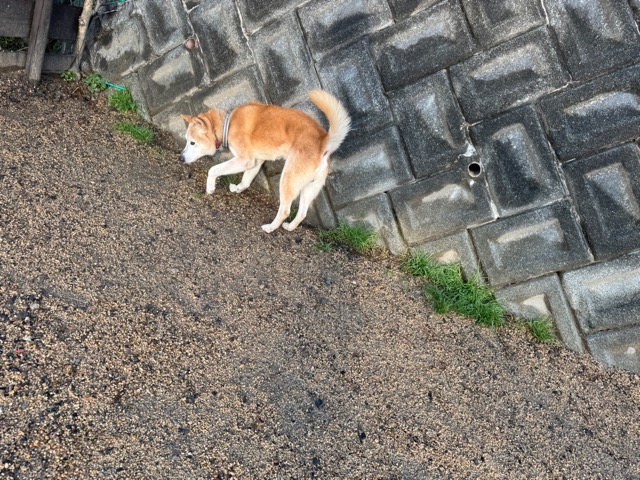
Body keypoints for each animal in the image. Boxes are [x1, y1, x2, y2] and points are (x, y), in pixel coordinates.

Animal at [179, 90, 351, 233]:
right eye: (186, 141)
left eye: (192, 142)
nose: (180, 158)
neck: (227, 124)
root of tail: (322, 142)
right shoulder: (255, 162)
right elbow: (246, 180)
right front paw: (238, 189)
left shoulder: (244, 160)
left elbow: (213, 169)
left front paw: (210, 187)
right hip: (310, 187)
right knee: (302, 213)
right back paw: (289, 227)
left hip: (287, 179)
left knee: (285, 210)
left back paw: (270, 228)